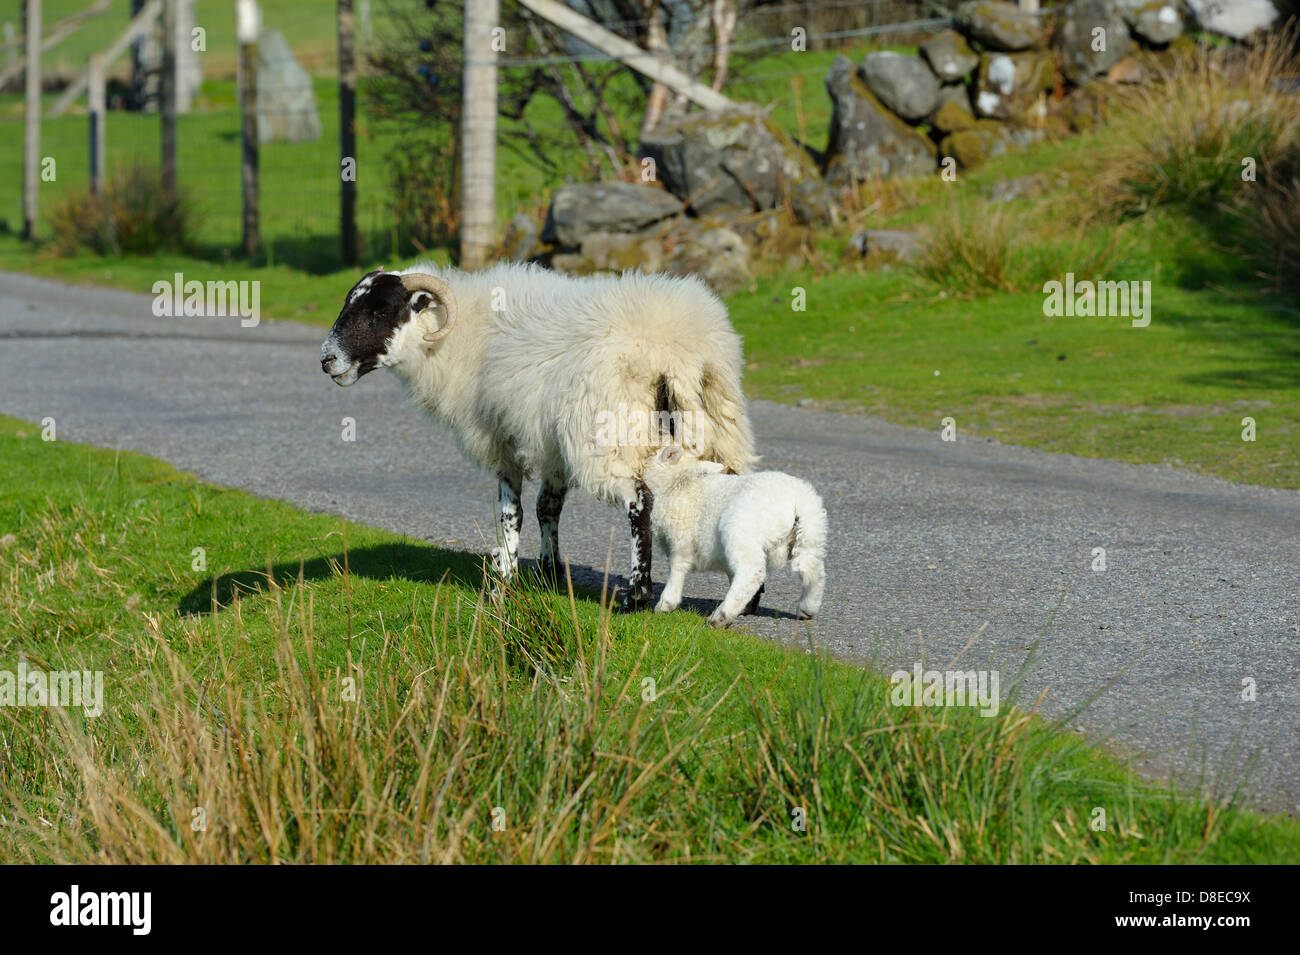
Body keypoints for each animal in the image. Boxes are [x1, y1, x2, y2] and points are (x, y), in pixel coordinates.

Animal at [319, 262, 757, 609]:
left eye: (380, 311)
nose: (326, 360)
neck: (458, 338)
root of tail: (675, 346)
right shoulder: (550, 443)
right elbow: (548, 507)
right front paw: (549, 573)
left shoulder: (501, 437)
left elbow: (512, 513)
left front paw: (504, 582)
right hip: (719, 415)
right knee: (735, 489)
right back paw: (750, 598)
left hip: (608, 433)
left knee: (640, 501)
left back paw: (637, 594)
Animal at [640, 446, 826, 628]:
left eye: (649, 457)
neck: (676, 484)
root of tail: (796, 499)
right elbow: (730, 573)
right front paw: (747, 606)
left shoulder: (680, 542)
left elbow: (677, 569)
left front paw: (665, 605)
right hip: (811, 533)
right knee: (813, 571)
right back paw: (806, 610)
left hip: (742, 532)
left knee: (751, 573)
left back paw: (720, 617)